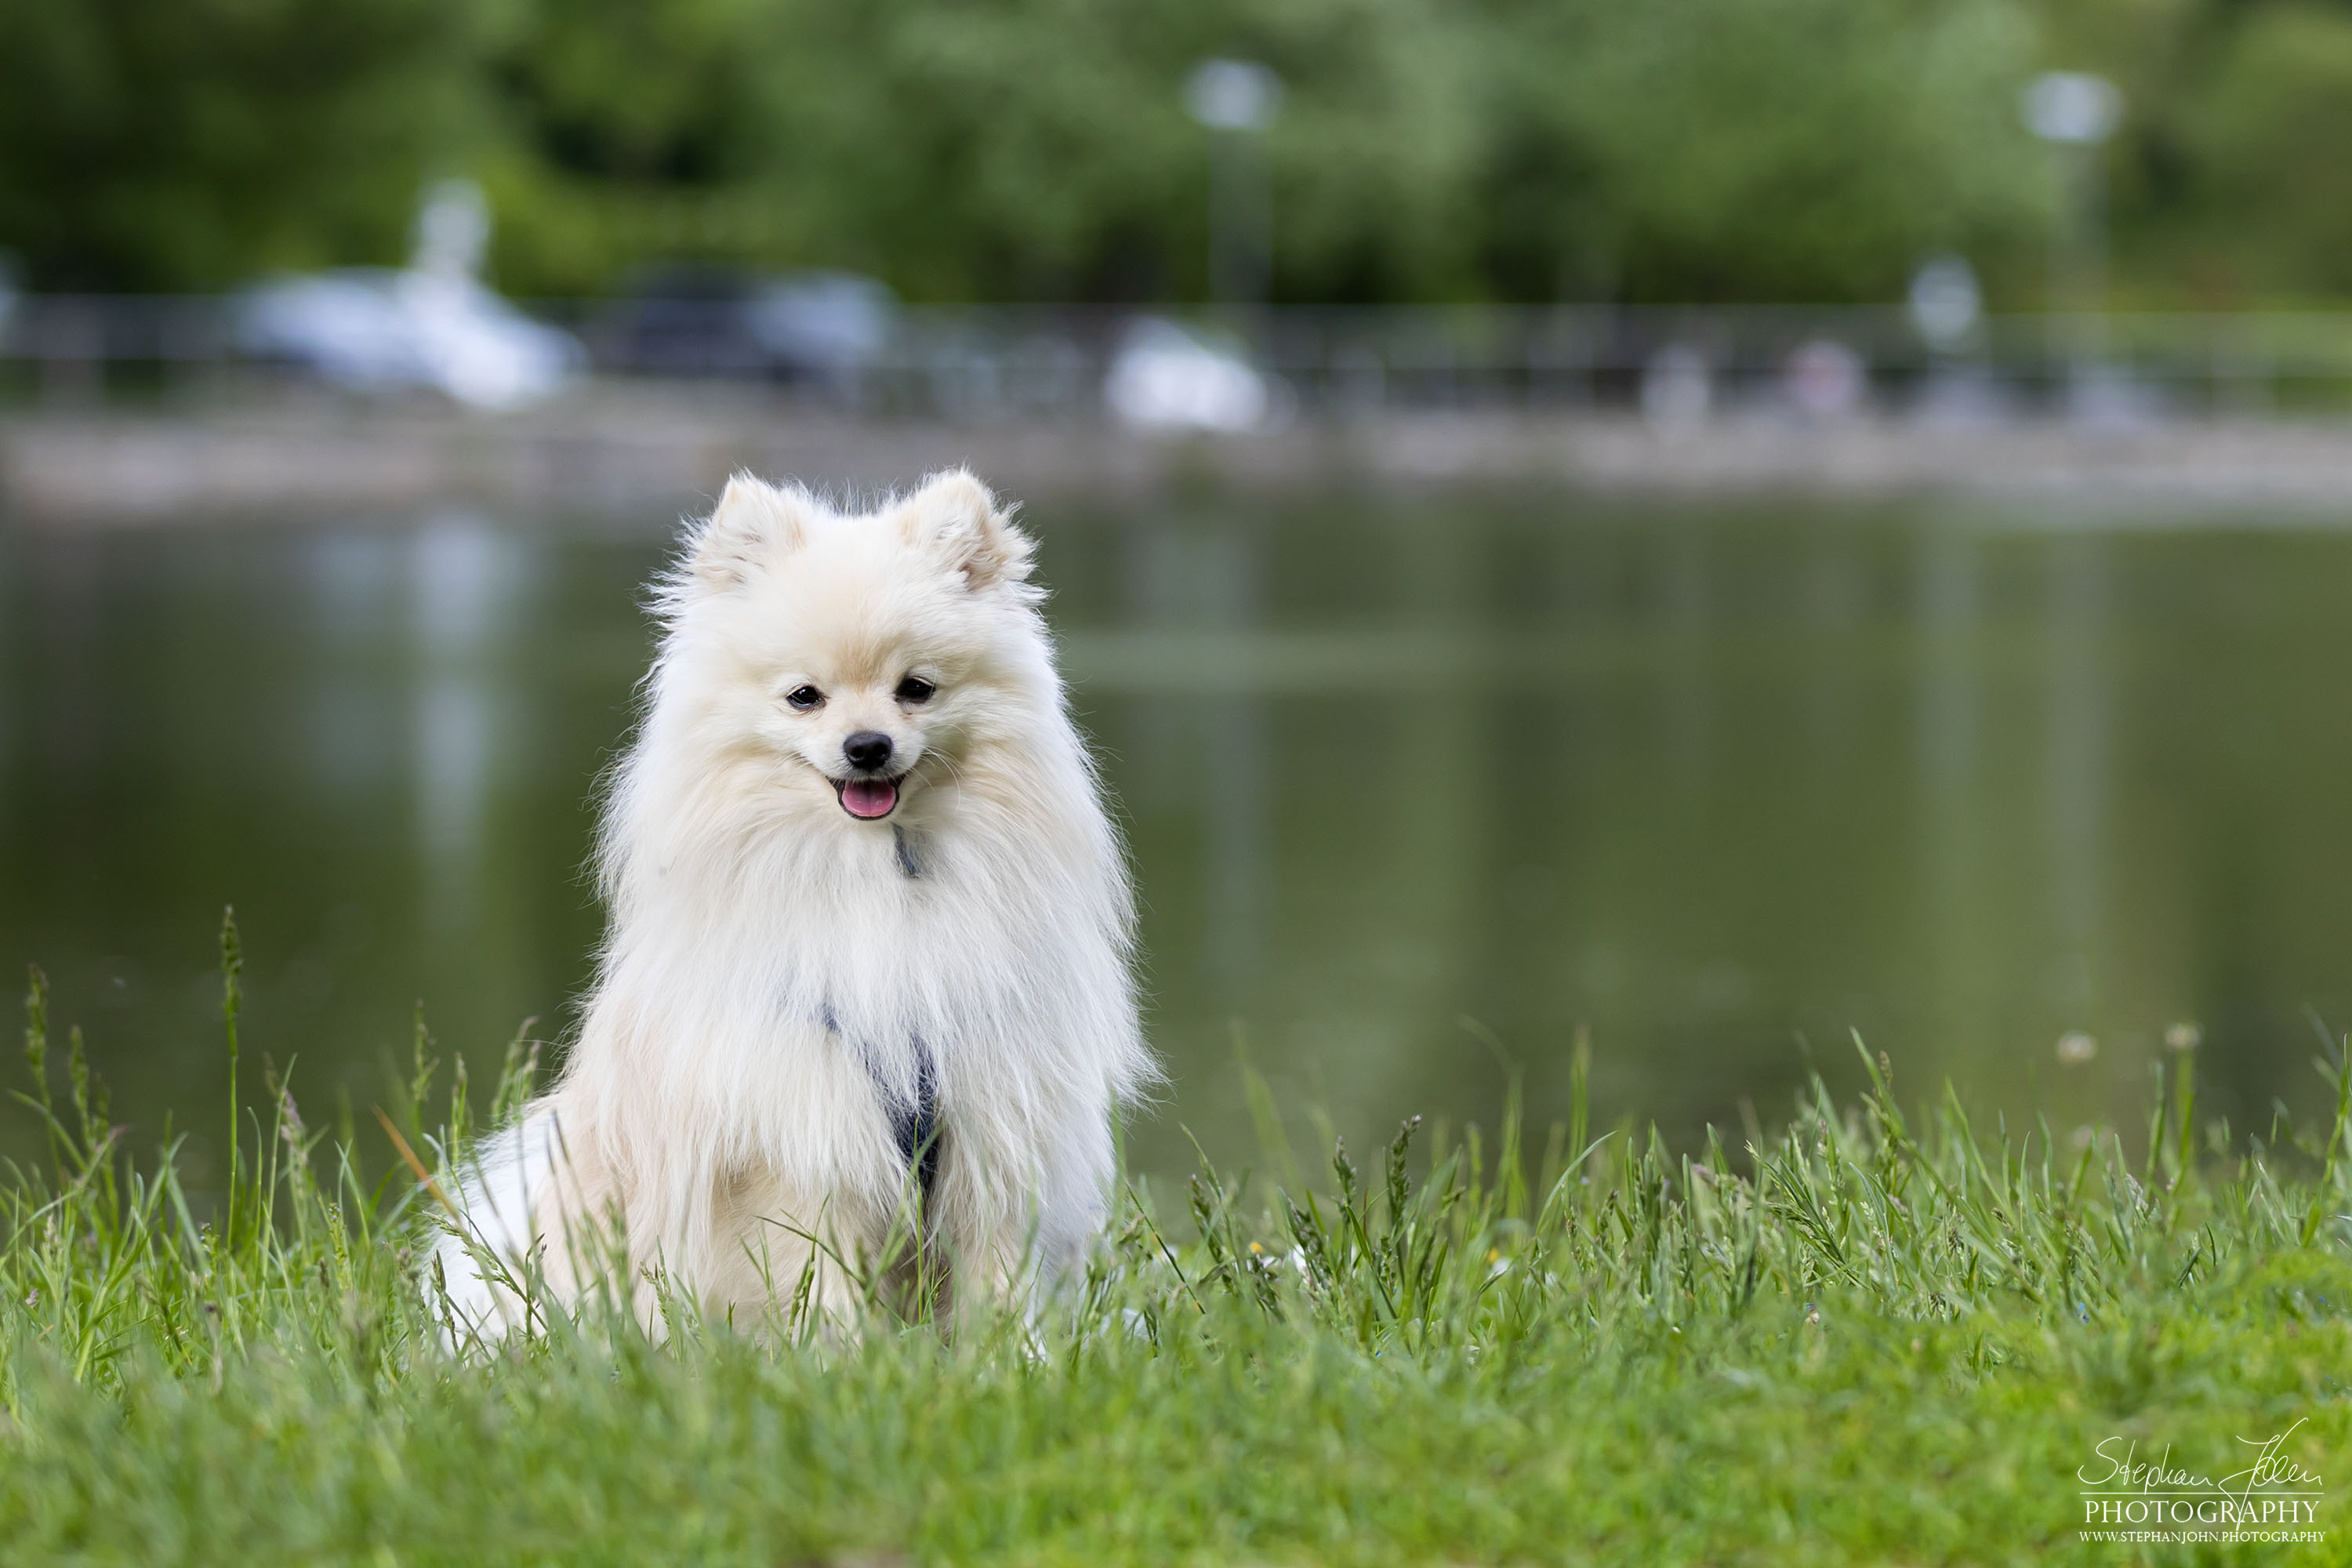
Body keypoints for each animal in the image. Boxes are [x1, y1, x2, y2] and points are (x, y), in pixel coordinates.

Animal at [437, 472, 1152, 1345]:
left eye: (917, 689)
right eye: (804, 697)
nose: (867, 745)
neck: (879, 874)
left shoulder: (989, 1121)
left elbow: (997, 1279)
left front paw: (1006, 1359)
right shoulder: (801, 1133)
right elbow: (823, 1277)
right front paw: (844, 1357)